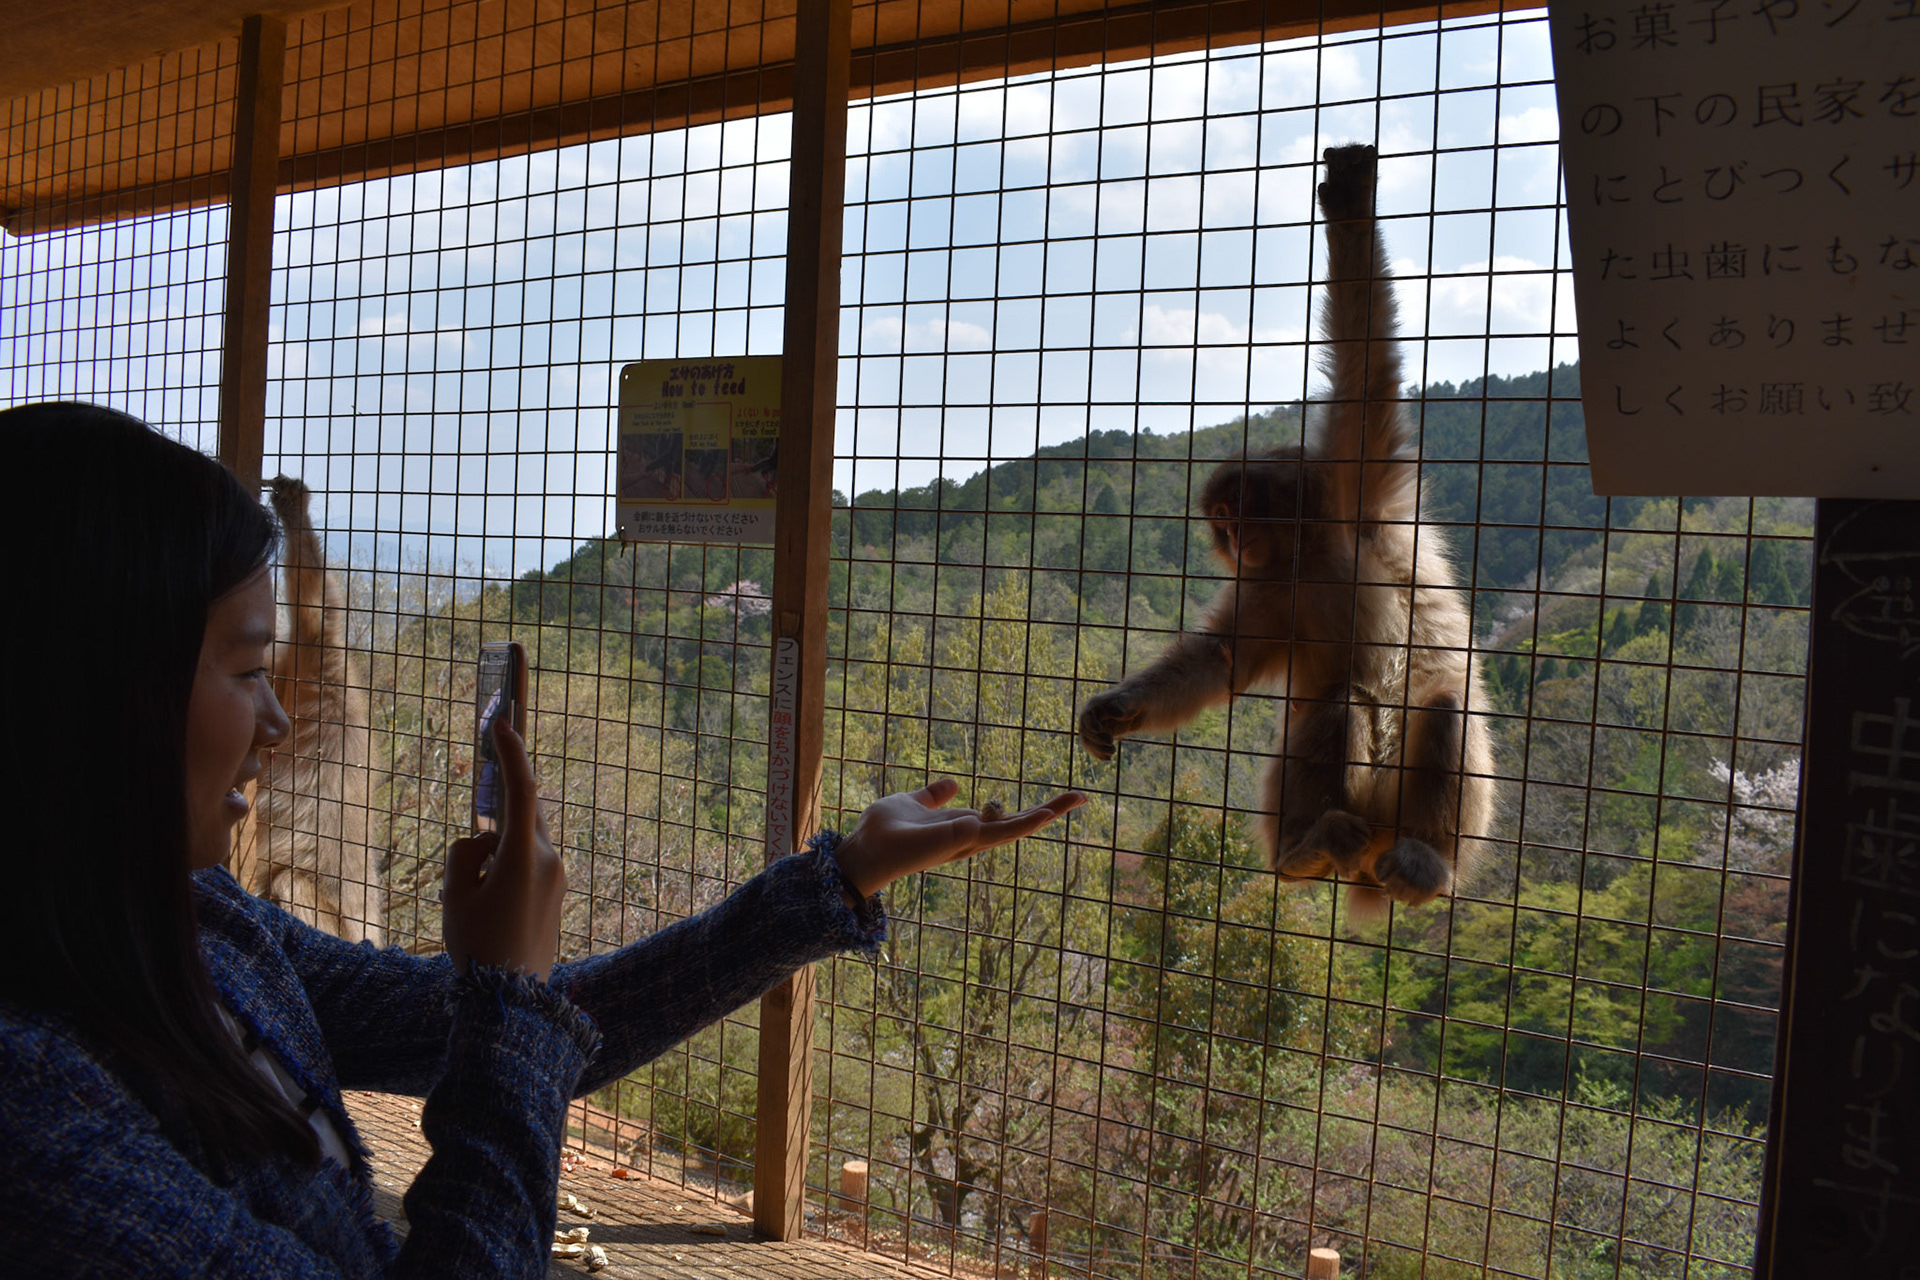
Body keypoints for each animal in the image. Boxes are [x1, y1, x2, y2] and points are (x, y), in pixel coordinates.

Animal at [1077, 144, 1494, 914]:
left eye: (1243, 509)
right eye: (1221, 519)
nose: (1234, 537)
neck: (1314, 556)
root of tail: (1371, 859)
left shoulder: (1358, 499)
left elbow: (1366, 374)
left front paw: (1351, 207)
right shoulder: (1274, 587)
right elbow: (1220, 662)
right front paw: (1118, 706)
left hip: (1441, 822)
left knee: (1443, 704)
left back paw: (1427, 862)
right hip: (1306, 810)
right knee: (1338, 704)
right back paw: (1307, 851)